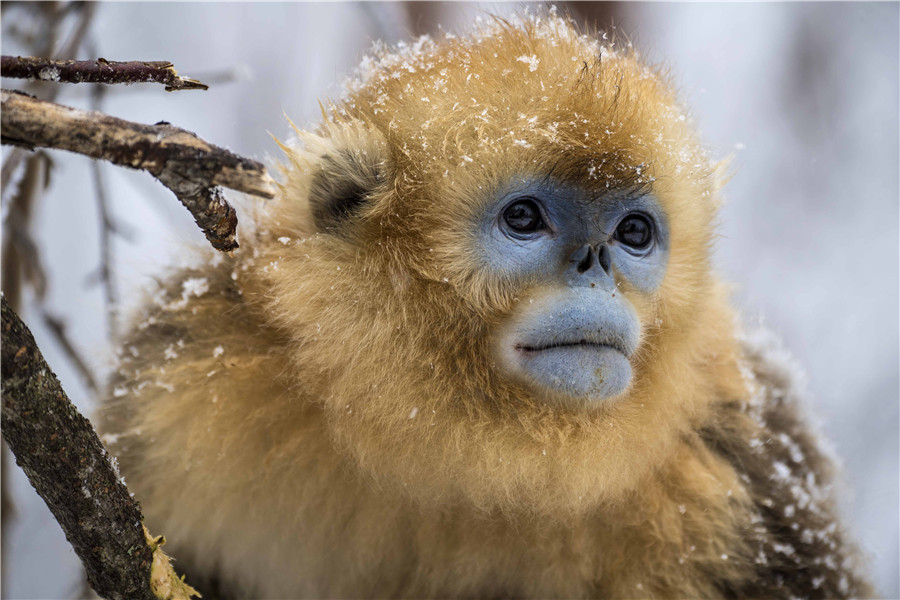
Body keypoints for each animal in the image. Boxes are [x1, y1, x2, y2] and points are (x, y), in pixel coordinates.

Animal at [100, 11, 873, 599]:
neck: (462, 458)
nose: (596, 268)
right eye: (524, 219)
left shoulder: (739, 458)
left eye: (633, 233)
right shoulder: (182, 380)